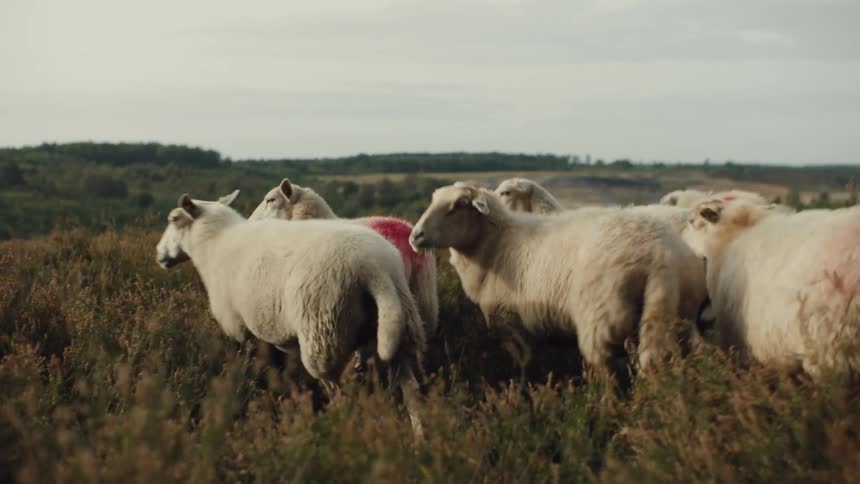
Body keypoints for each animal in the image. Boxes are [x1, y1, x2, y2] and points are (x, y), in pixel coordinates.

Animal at [156, 191, 427, 438]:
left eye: (173, 219)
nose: (159, 254)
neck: (215, 244)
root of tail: (375, 268)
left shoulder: (239, 328)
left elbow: (254, 364)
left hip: (323, 333)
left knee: (341, 393)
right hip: (401, 323)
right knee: (410, 389)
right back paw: (419, 437)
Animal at [409, 183, 707, 373]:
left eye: (459, 205)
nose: (416, 236)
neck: (495, 243)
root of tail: (661, 255)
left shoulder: (508, 322)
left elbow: (524, 366)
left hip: (600, 318)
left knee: (606, 371)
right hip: (675, 315)